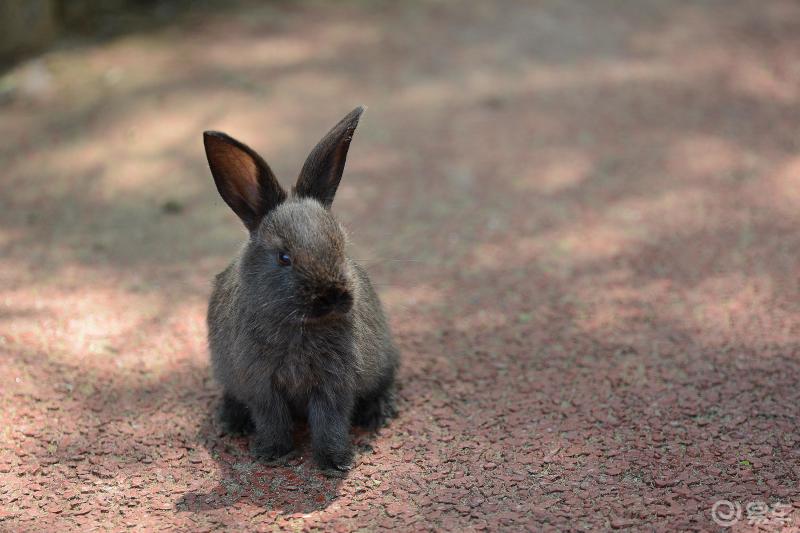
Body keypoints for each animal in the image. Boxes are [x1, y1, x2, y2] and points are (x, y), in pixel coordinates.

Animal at [202, 105, 398, 470]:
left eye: (341, 244)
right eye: (284, 257)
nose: (333, 297)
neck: (300, 326)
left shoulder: (333, 385)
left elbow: (330, 423)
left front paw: (335, 463)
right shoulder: (261, 386)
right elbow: (272, 419)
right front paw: (273, 454)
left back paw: (377, 415)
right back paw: (232, 421)